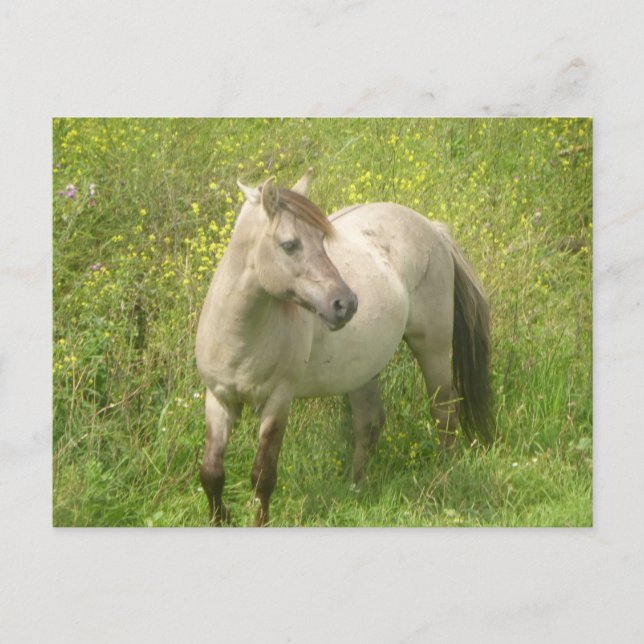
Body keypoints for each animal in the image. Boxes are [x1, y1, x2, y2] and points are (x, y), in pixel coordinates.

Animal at [195, 169, 493, 526]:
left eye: (321, 241)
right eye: (290, 245)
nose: (346, 304)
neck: (241, 334)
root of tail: (432, 227)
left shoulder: (278, 401)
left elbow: (263, 475)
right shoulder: (219, 398)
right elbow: (212, 473)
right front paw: (220, 518)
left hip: (432, 348)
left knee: (443, 411)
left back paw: (445, 473)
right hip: (363, 369)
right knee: (369, 422)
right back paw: (355, 487)